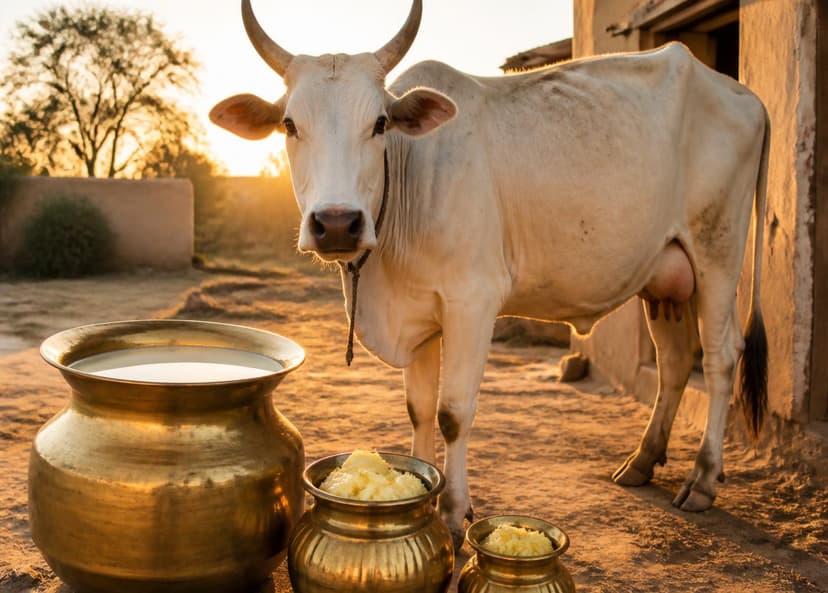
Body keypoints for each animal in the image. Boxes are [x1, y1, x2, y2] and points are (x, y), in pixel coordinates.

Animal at [211, 0, 769, 548]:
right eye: (289, 124)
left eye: (380, 123)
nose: (335, 224)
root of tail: (743, 94)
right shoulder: (420, 315)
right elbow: (418, 409)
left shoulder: (471, 302)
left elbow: (452, 413)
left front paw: (456, 513)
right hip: (665, 275)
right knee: (674, 362)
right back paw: (643, 461)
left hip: (718, 252)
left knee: (720, 358)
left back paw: (703, 478)